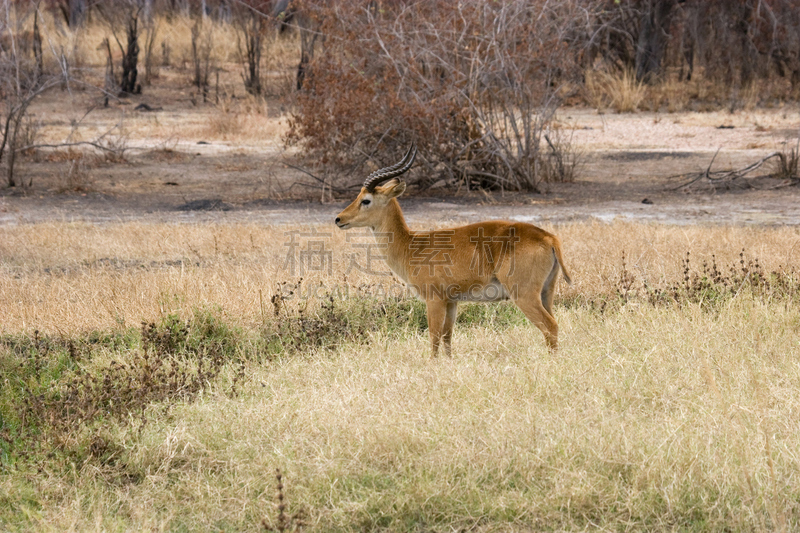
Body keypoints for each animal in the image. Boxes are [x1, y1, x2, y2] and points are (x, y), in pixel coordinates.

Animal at [334, 144, 572, 358]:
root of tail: (548, 237)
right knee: (552, 325)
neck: (412, 246)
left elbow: (434, 337)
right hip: (546, 292)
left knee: (550, 326)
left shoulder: (434, 299)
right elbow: (447, 337)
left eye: (366, 200)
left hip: (524, 295)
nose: (338, 219)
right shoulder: (452, 301)